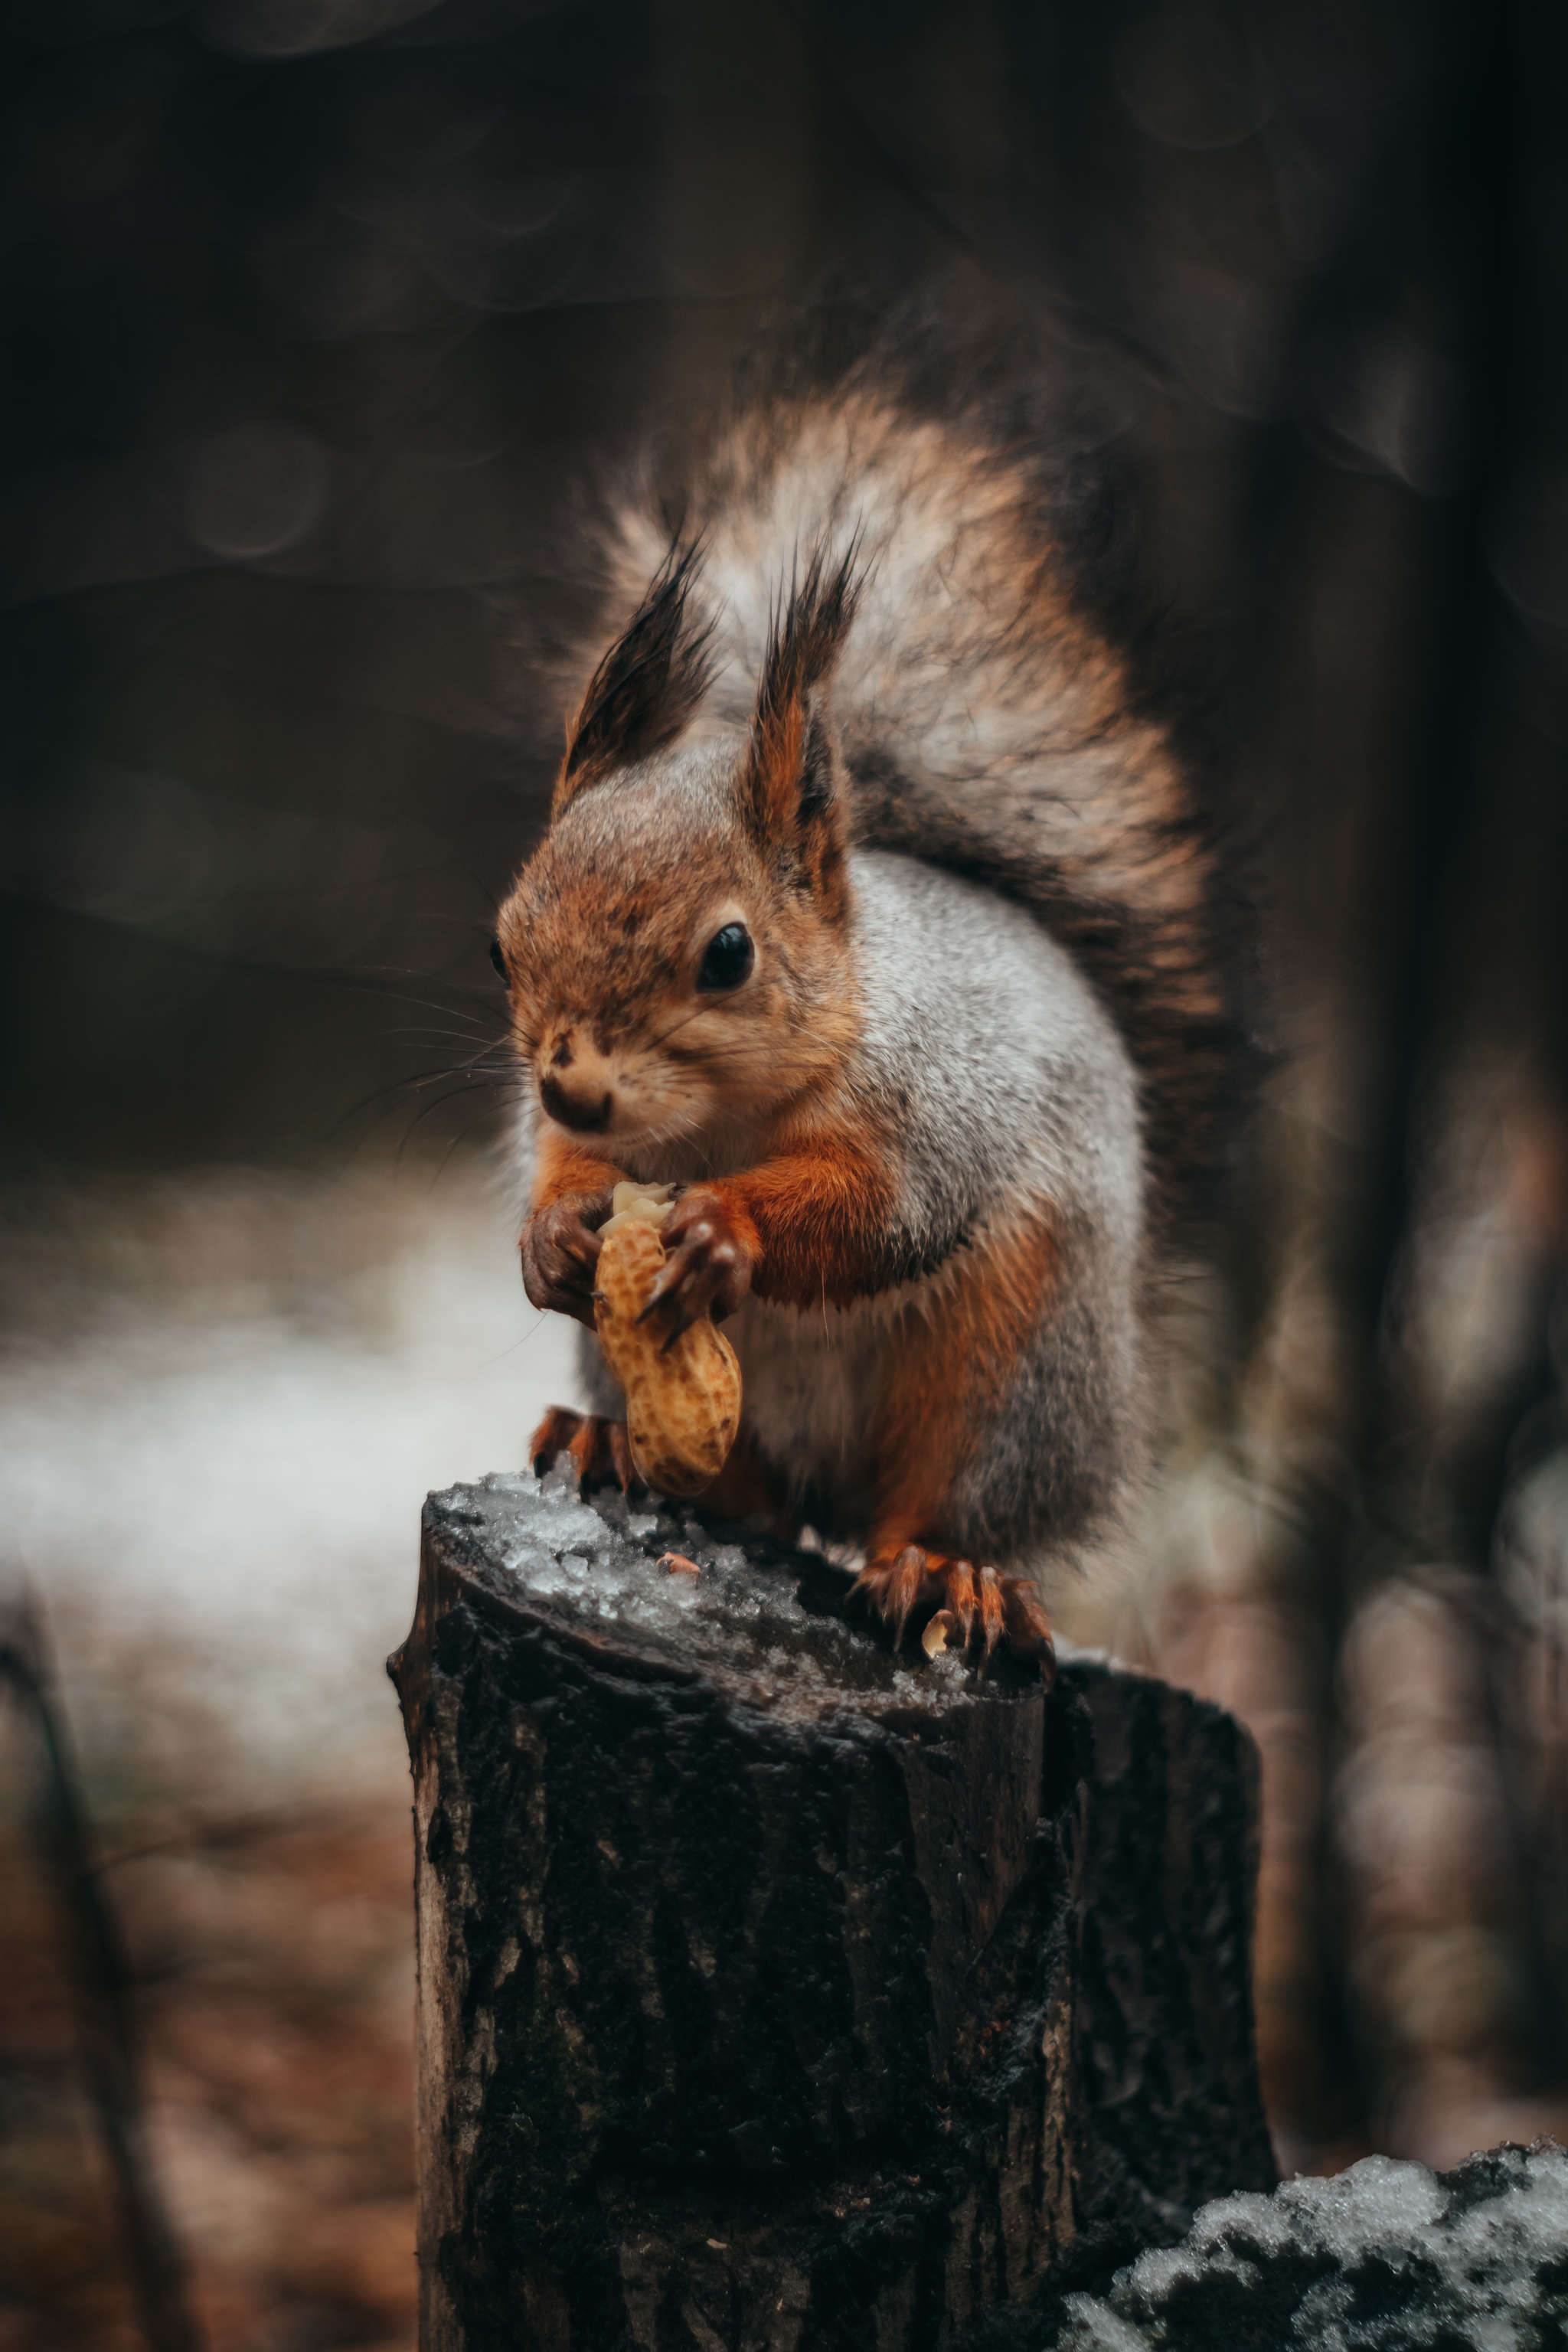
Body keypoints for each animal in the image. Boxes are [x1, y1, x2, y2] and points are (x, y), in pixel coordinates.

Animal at [491, 308, 1250, 1674]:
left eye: (728, 954)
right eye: (498, 946)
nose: (572, 1086)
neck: (719, 1121)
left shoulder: (943, 1097)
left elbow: (883, 1211)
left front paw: (722, 1231)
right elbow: (569, 1175)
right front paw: (554, 1228)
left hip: (1012, 1374)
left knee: (945, 1505)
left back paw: (952, 1576)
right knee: (743, 1496)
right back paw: (620, 1443)